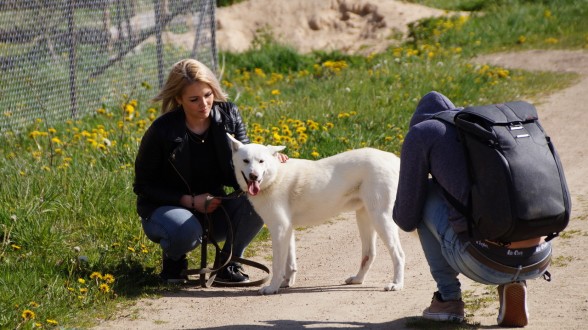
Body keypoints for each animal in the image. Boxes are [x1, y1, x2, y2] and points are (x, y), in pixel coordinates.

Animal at [229, 134, 404, 294]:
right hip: (364, 218)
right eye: (246, 161)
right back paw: (358, 279)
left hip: (381, 218)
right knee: (369, 255)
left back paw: (396, 284)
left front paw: (272, 287)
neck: (275, 176)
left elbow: (278, 264)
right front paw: (286, 283)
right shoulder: (287, 230)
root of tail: (395, 160)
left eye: (261, 161)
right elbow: (289, 263)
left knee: (399, 254)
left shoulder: (279, 229)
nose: (254, 176)